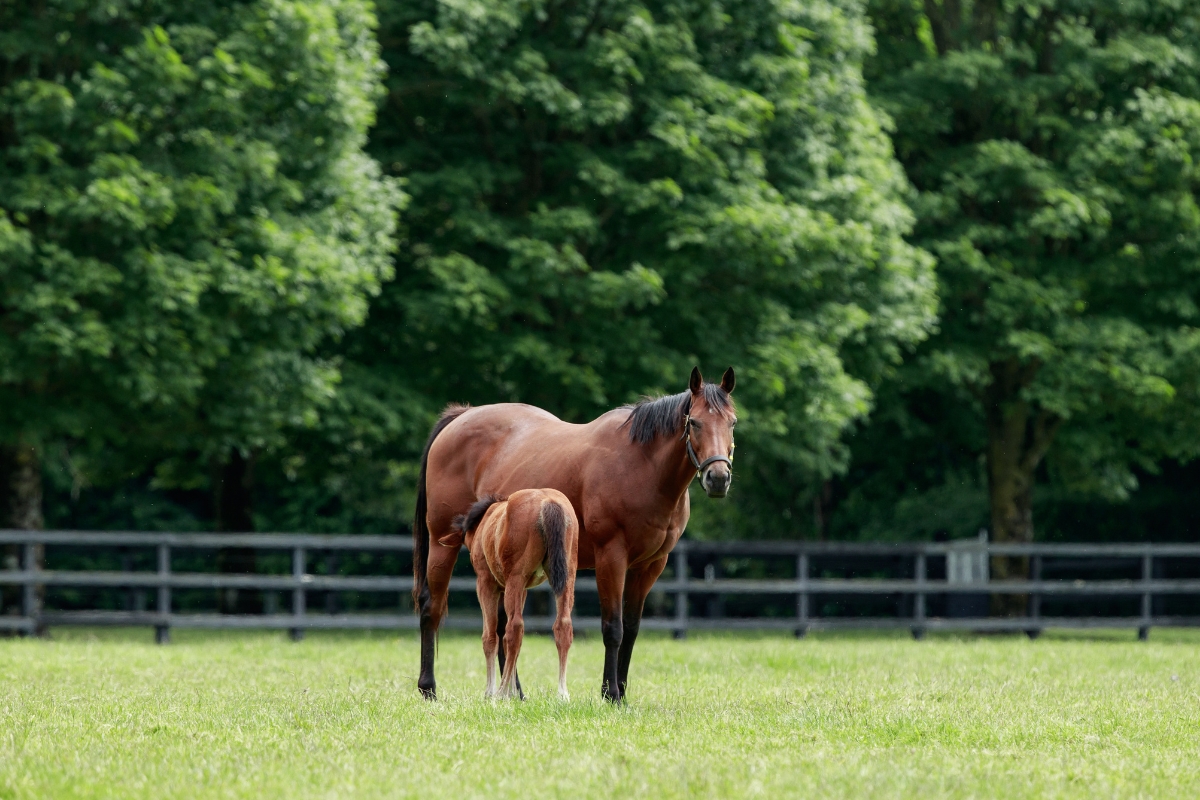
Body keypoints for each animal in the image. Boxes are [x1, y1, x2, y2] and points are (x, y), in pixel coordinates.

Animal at [439, 490, 578, 699]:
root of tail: (548, 502)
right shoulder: (523, 590)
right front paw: (514, 692)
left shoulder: (486, 584)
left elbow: (490, 637)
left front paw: (490, 691)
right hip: (566, 576)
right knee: (563, 625)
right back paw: (562, 694)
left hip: (514, 579)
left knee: (514, 628)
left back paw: (501, 691)